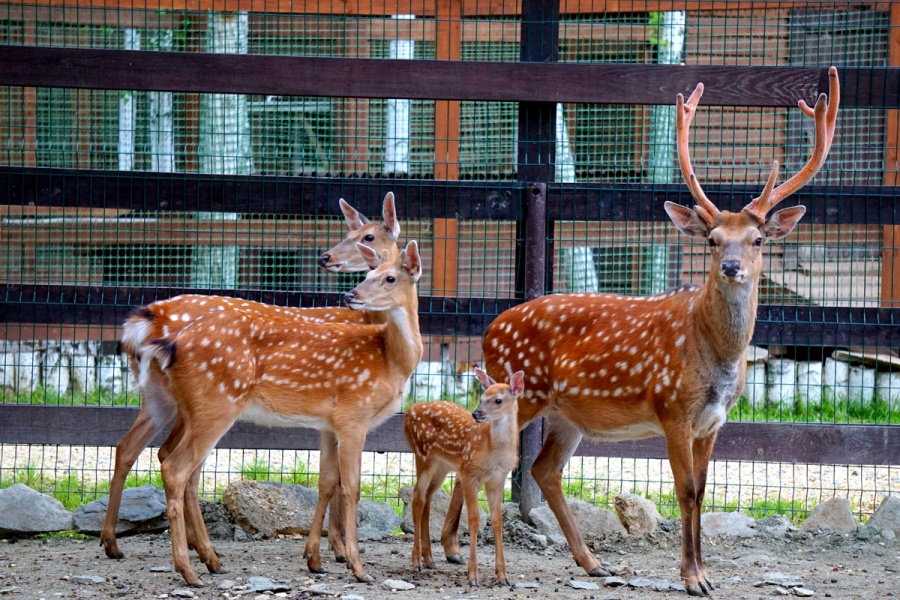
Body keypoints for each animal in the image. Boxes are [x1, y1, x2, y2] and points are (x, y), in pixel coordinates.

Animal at [98, 193, 400, 568]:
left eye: (368, 237)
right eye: (350, 233)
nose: (326, 257)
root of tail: (144, 320)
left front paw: (333, 548)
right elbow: (341, 479)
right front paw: (339, 549)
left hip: (158, 396)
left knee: (130, 448)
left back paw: (114, 542)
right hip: (202, 400)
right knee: (177, 461)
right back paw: (201, 552)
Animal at [404, 368, 524, 584]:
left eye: (498, 400)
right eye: (482, 397)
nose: (476, 413)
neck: (492, 450)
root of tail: (409, 411)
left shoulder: (498, 479)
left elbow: (497, 521)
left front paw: (502, 575)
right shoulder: (469, 473)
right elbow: (474, 520)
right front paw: (473, 575)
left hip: (442, 466)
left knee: (427, 498)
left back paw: (429, 559)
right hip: (423, 455)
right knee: (418, 497)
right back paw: (417, 561)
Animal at [450, 67, 836, 596]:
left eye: (758, 239)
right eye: (713, 240)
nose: (732, 266)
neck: (714, 353)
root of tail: (490, 328)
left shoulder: (714, 420)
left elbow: (703, 489)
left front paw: (705, 573)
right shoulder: (671, 408)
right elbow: (685, 490)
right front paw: (693, 577)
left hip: (565, 413)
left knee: (544, 470)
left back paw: (592, 562)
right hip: (516, 392)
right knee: (480, 452)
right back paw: (448, 551)